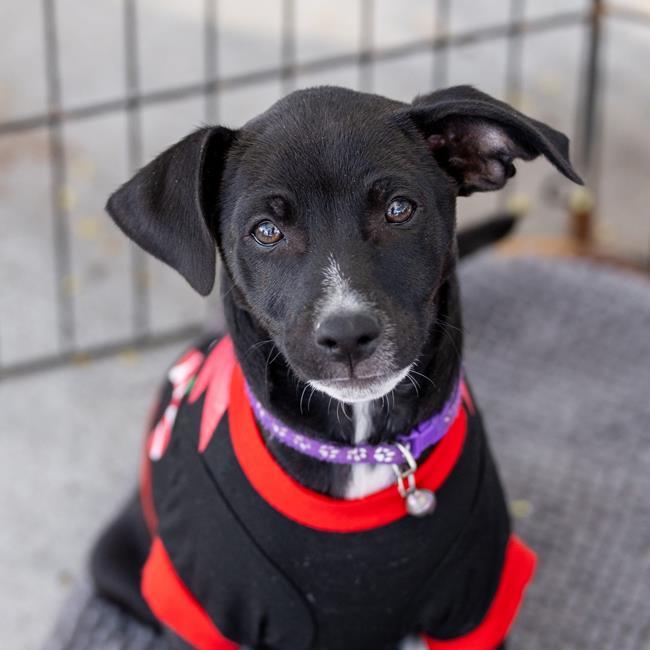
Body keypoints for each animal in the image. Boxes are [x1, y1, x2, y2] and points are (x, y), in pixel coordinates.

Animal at [92, 87, 584, 648]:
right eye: (266, 231)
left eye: (399, 209)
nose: (347, 335)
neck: (362, 450)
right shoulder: (208, 617)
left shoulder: (472, 608)